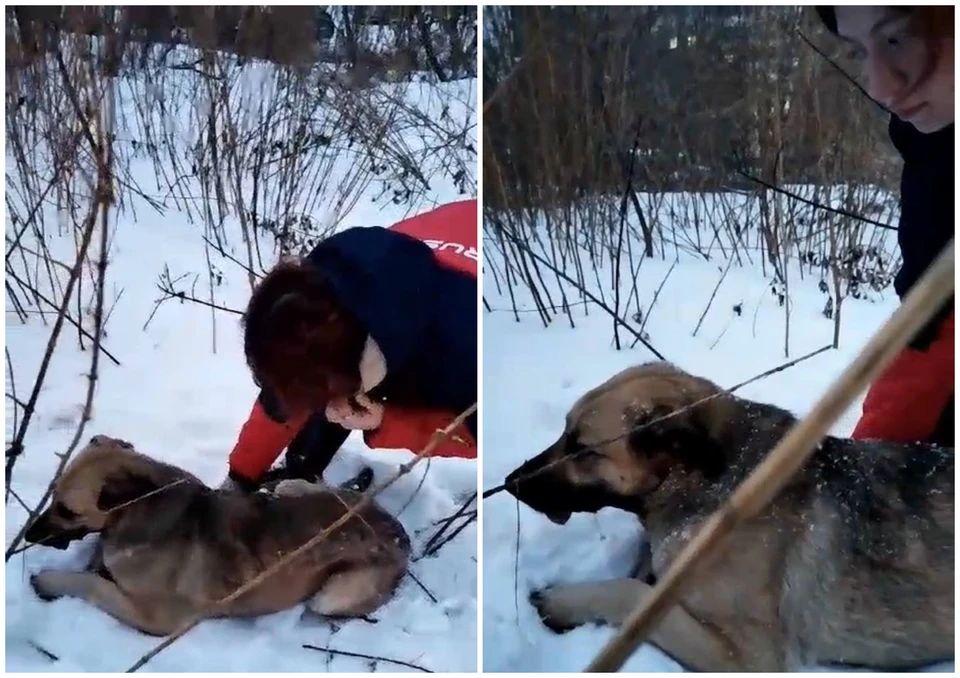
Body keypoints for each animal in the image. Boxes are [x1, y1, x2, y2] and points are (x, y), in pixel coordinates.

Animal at [26, 436, 408, 636]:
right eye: (53, 495)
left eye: (67, 510)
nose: (29, 534)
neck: (144, 509)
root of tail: (398, 532)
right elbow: (95, 570)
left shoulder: (157, 618)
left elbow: (92, 585)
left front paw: (48, 580)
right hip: (304, 490)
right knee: (294, 484)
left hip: (329, 596)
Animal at [502, 364, 952, 672]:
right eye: (563, 433)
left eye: (582, 449)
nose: (510, 482)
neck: (705, 486)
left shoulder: (749, 655)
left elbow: (630, 592)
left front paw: (562, 603)